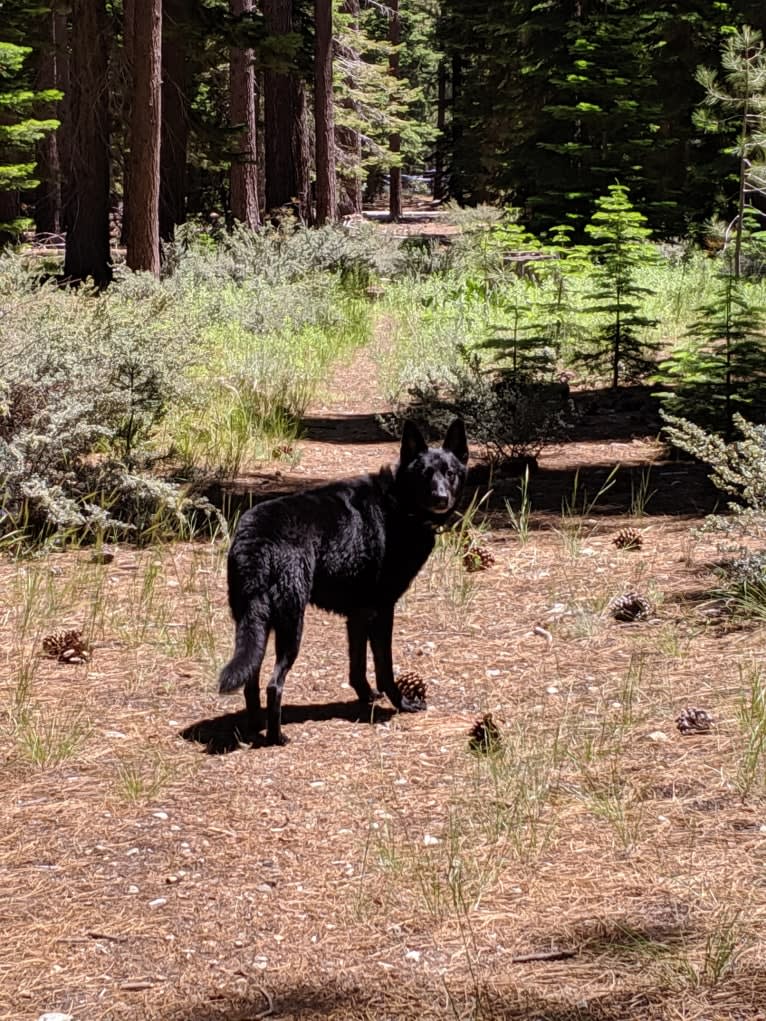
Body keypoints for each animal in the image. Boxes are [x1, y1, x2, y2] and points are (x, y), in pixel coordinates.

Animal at [216, 418, 467, 747]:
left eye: (450, 473)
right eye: (424, 474)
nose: (441, 498)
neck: (398, 504)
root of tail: (255, 537)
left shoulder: (358, 616)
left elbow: (357, 666)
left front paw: (366, 697)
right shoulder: (382, 610)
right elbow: (384, 667)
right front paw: (401, 703)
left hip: (256, 621)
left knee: (251, 680)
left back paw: (255, 726)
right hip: (291, 624)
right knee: (274, 684)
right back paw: (277, 735)